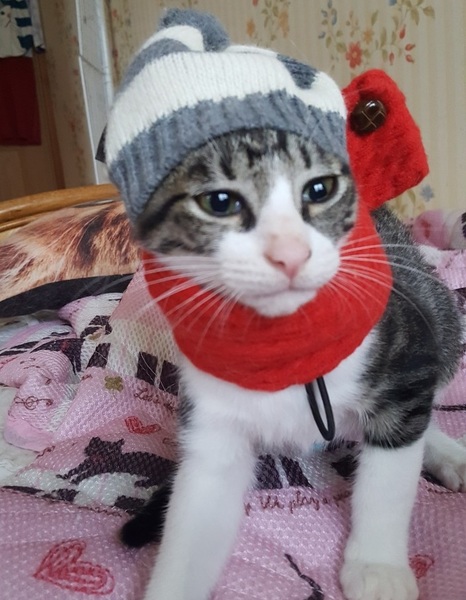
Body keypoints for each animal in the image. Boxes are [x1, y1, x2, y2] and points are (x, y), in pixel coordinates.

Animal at [120, 128, 465, 600]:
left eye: (319, 191)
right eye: (219, 202)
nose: (288, 253)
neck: (282, 352)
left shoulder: (407, 363)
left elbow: (389, 479)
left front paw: (378, 566)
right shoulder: (212, 422)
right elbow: (195, 516)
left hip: (440, 315)